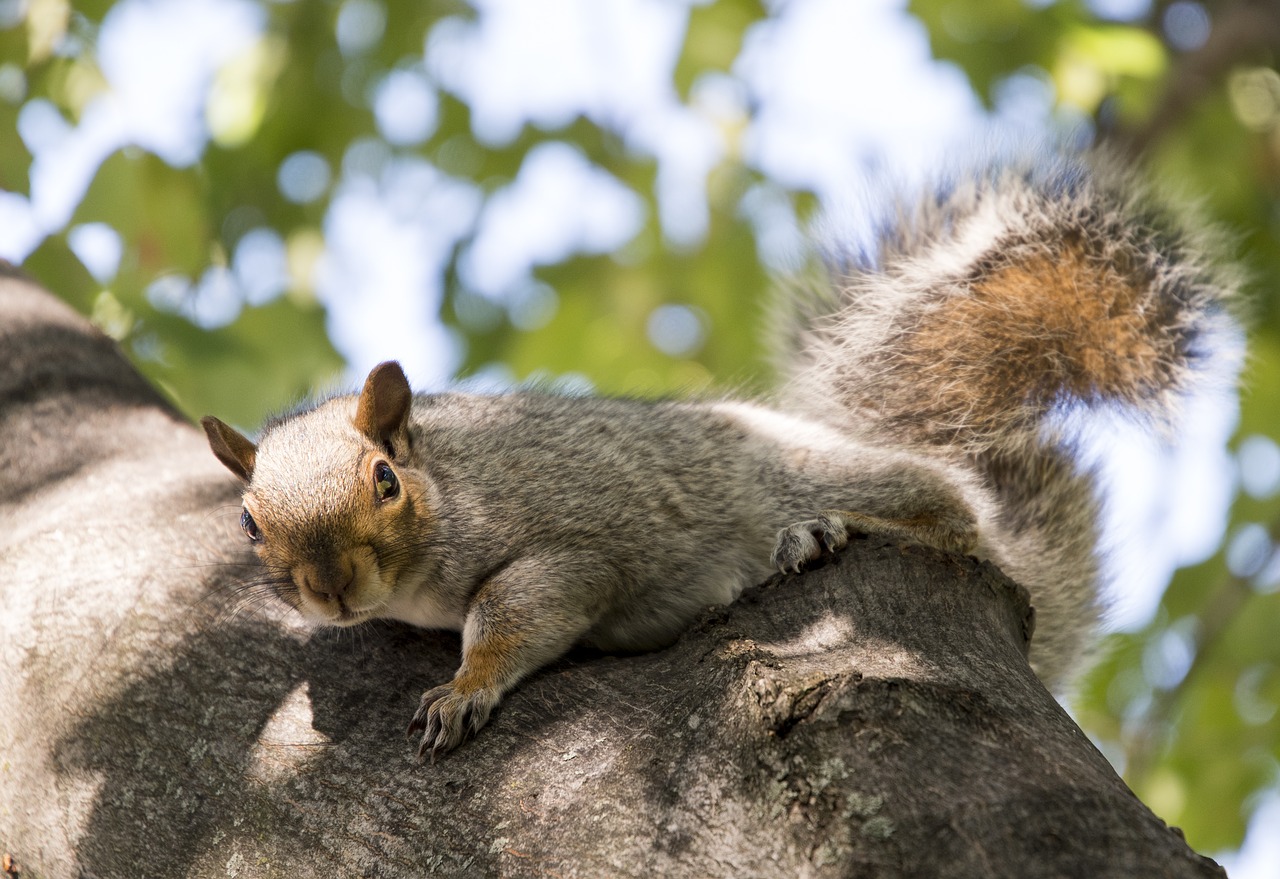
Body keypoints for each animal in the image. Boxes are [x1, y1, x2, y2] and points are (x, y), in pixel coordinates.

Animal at [199, 150, 1239, 757]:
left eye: (384, 481)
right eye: (248, 521)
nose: (331, 588)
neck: (450, 484)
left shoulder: (569, 539)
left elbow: (519, 611)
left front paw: (463, 689)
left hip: (831, 474)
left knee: (947, 511)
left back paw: (826, 532)